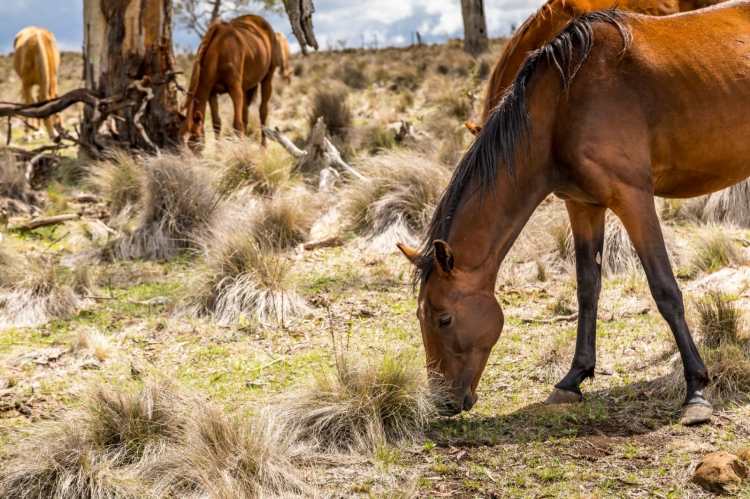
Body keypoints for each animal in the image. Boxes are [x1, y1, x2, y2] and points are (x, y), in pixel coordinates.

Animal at [182, 14, 284, 146]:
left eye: (194, 140)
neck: (219, 49)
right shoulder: (211, 92)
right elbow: (217, 123)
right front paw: (219, 150)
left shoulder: (235, 90)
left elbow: (237, 124)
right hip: (246, 87)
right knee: (245, 114)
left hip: (267, 78)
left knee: (263, 111)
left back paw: (263, 146)